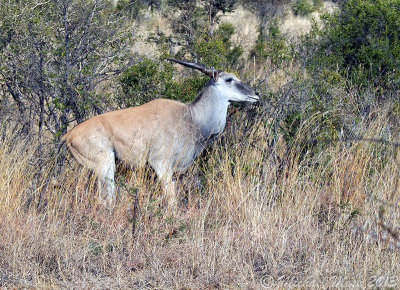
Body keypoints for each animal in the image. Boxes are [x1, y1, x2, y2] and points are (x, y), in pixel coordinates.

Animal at [61, 58, 258, 206]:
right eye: (229, 79)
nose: (255, 94)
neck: (191, 117)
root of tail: (69, 135)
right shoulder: (161, 165)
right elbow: (171, 200)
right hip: (105, 165)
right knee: (106, 199)